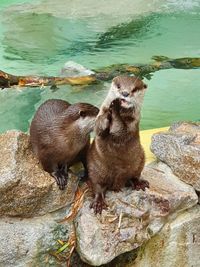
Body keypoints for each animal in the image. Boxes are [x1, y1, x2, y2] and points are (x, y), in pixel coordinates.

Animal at [87, 76, 148, 215]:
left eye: (134, 89)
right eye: (119, 86)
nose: (125, 93)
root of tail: (117, 184)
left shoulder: (131, 124)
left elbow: (120, 130)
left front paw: (114, 108)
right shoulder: (99, 116)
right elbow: (98, 127)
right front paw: (109, 111)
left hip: (140, 159)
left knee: (134, 176)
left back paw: (139, 183)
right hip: (94, 169)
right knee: (97, 186)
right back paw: (99, 203)